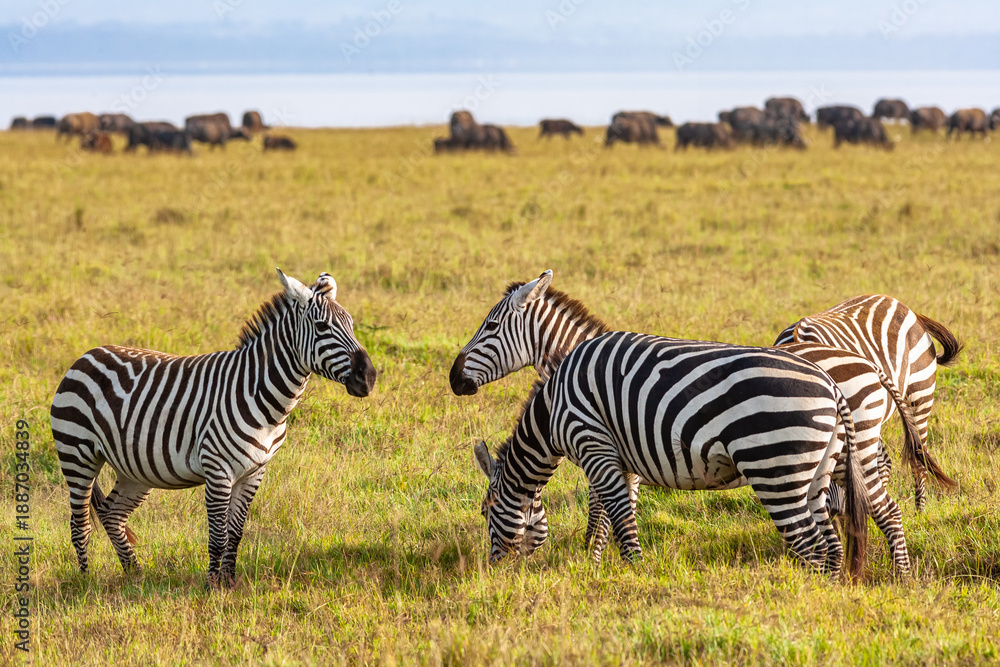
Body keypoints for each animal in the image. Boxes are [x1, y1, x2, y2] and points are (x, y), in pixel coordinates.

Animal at [50, 269, 377, 588]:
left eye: (351, 325)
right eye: (321, 327)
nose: (369, 377)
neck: (261, 397)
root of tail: (87, 355)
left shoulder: (255, 471)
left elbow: (236, 532)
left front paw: (229, 583)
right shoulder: (217, 469)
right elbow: (218, 536)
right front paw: (211, 587)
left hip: (135, 469)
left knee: (111, 513)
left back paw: (135, 574)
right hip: (77, 454)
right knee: (80, 524)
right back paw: (86, 582)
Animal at [473, 331, 914, 578]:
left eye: (484, 511)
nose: (494, 571)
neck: (553, 412)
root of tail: (832, 385)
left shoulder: (593, 442)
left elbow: (616, 513)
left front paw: (633, 569)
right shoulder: (617, 455)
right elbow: (607, 514)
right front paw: (595, 566)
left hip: (776, 467)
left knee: (811, 543)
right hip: (820, 468)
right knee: (835, 542)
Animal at [775, 294, 963, 511]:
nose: (836, 513)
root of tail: (899, 304)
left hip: (919, 395)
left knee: (919, 458)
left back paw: (919, 510)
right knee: (884, 462)